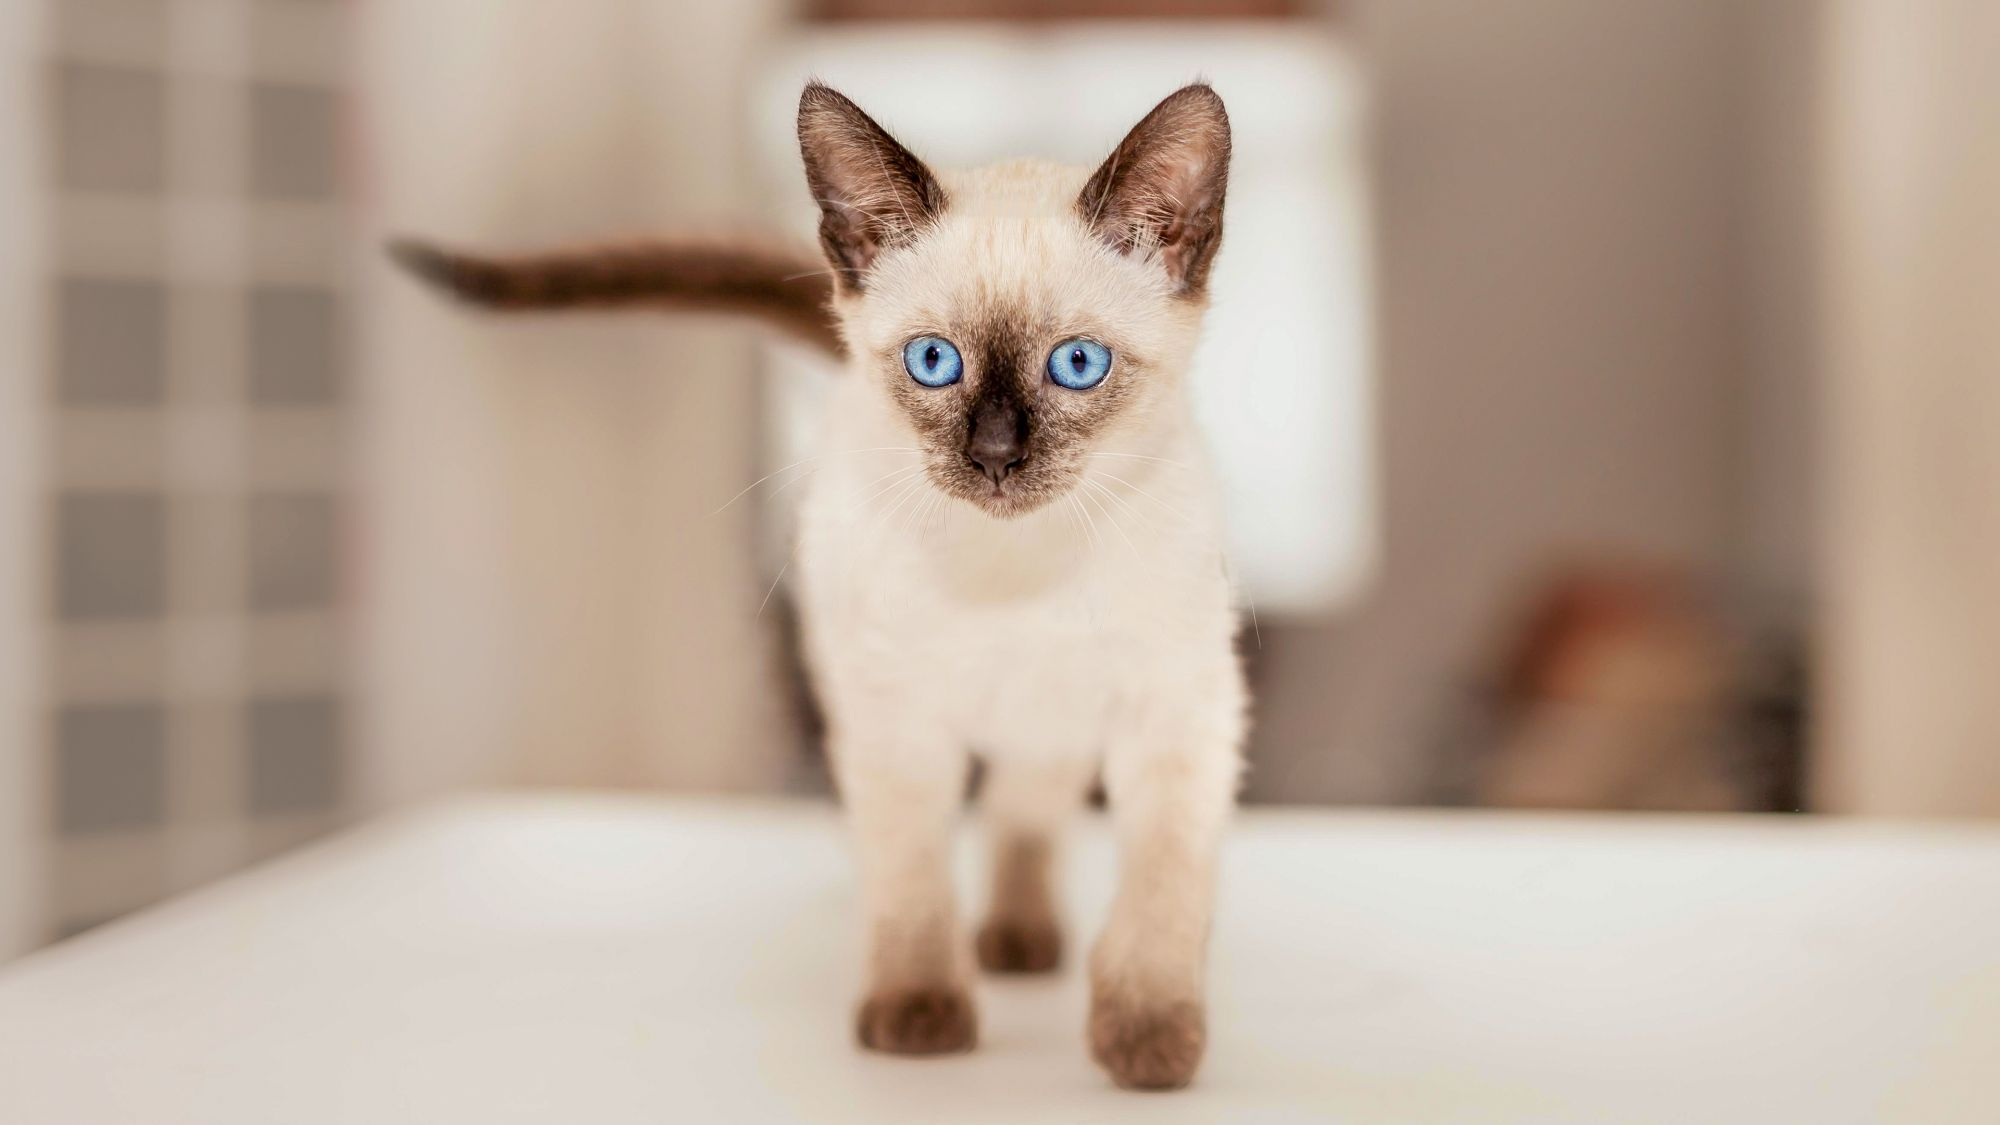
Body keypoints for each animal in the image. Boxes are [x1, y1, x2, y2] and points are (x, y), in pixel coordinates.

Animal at [392, 81, 1240, 1088]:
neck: (1014, 572)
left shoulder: (1178, 718)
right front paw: (919, 1014)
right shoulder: (894, 724)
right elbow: (911, 880)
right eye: (934, 362)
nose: (996, 456)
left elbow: (1162, 890)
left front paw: (1149, 1040)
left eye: (1077, 364)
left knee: (1022, 806)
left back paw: (1021, 937)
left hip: (1059, 724)